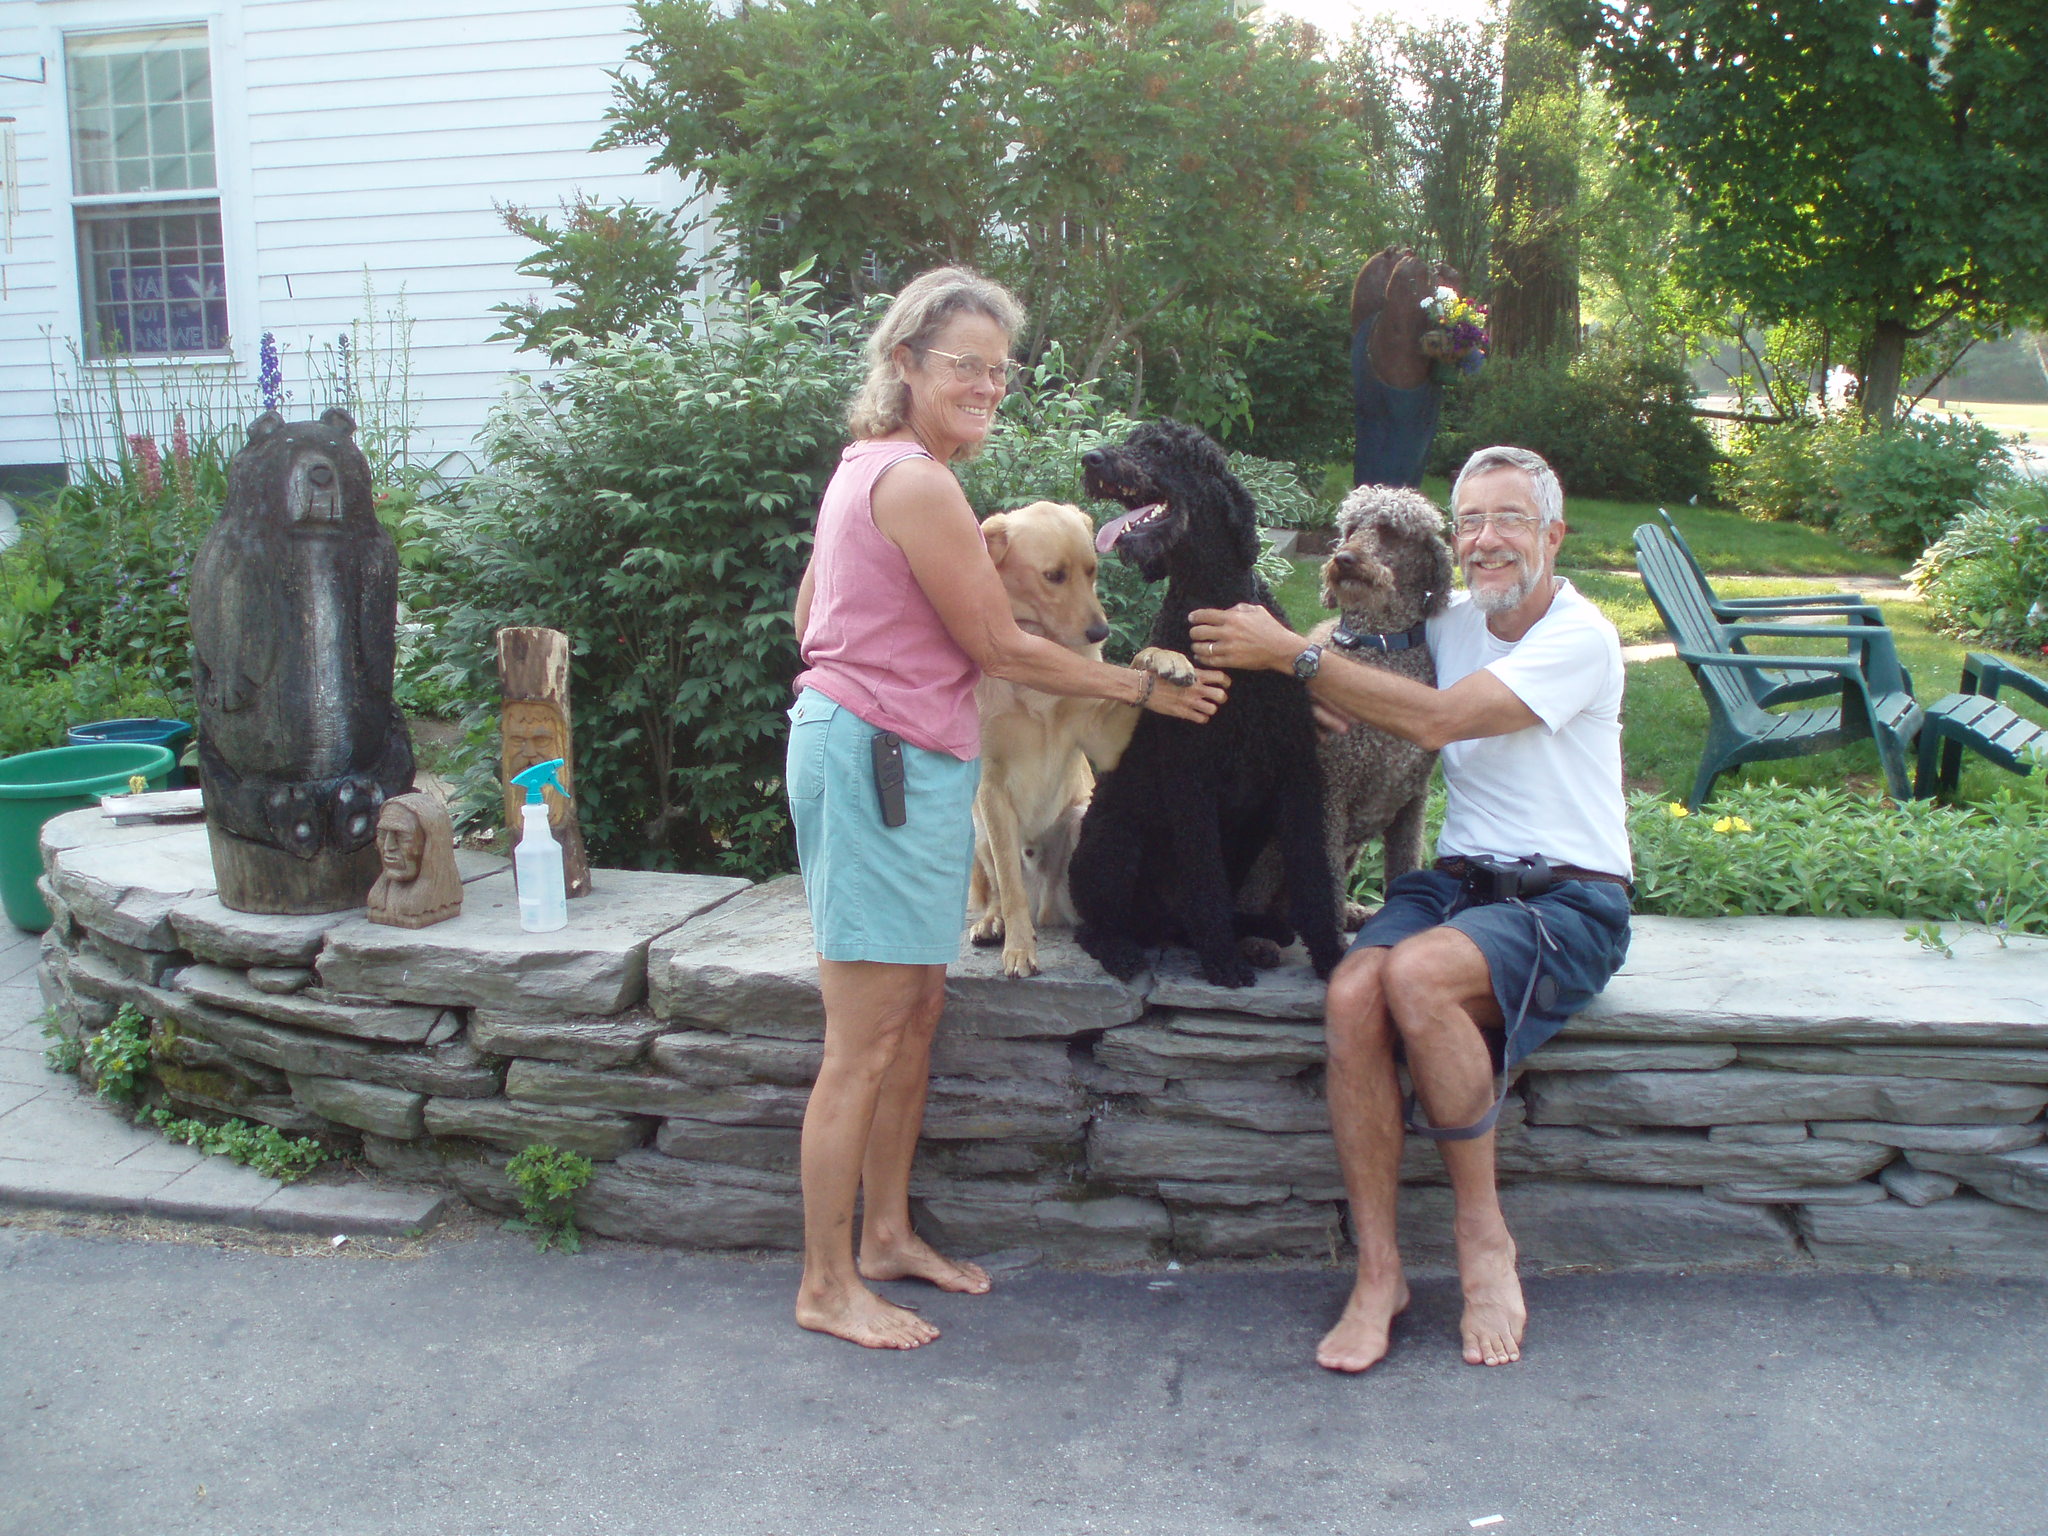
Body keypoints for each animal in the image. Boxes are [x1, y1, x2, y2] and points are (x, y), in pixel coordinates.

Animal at [974, 505, 1196, 987]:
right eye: (1053, 576)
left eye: (1092, 571)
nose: (1101, 631)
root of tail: (1048, 910)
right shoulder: (991, 784)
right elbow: (1010, 886)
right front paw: (1018, 948)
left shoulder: (1102, 737)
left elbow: (1134, 670)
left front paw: (1164, 660)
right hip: (979, 830)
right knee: (1001, 887)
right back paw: (993, 921)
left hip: (1083, 823)